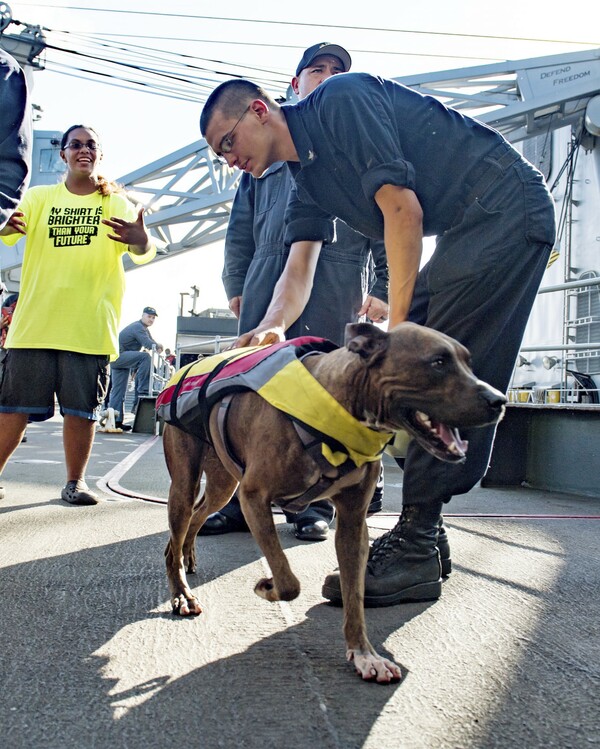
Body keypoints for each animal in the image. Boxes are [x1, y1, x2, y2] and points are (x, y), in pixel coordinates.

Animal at [161, 322, 506, 684]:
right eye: (438, 362)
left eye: (469, 362)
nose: (499, 401)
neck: (340, 404)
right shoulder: (254, 497)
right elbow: (288, 582)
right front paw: (267, 587)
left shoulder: (353, 523)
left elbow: (354, 596)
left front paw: (365, 654)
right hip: (187, 485)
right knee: (175, 538)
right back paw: (181, 593)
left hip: (223, 486)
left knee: (197, 517)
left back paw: (188, 555)